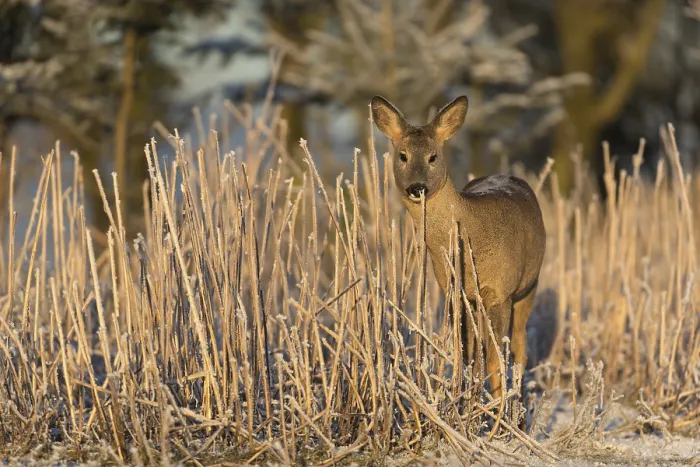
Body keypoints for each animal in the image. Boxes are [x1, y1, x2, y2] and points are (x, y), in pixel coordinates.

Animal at [371, 94, 546, 411]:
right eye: (402, 155)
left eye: (433, 157)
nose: (417, 187)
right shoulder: (453, 290)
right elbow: (465, 356)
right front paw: (466, 402)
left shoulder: (500, 291)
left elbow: (496, 360)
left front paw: (496, 413)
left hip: (529, 286)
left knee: (519, 348)